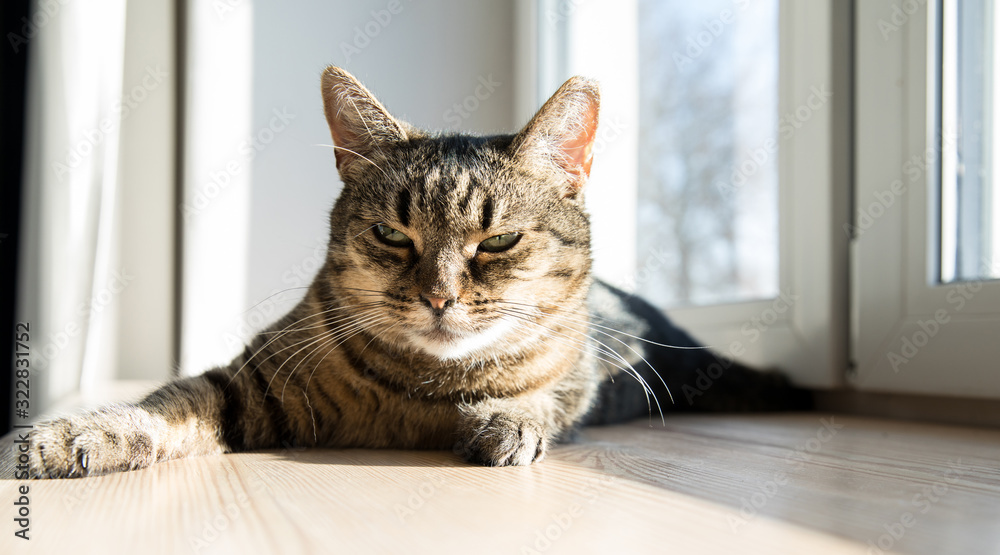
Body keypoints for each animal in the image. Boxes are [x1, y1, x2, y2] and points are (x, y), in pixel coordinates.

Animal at [27, 67, 808, 480]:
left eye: (499, 241)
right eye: (392, 234)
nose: (439, 295)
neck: (423, 393)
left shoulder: (578, 375)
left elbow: (545, 397)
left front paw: (506, 419)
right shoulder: (248, 383)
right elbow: (167, 404)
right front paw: (78, 433)